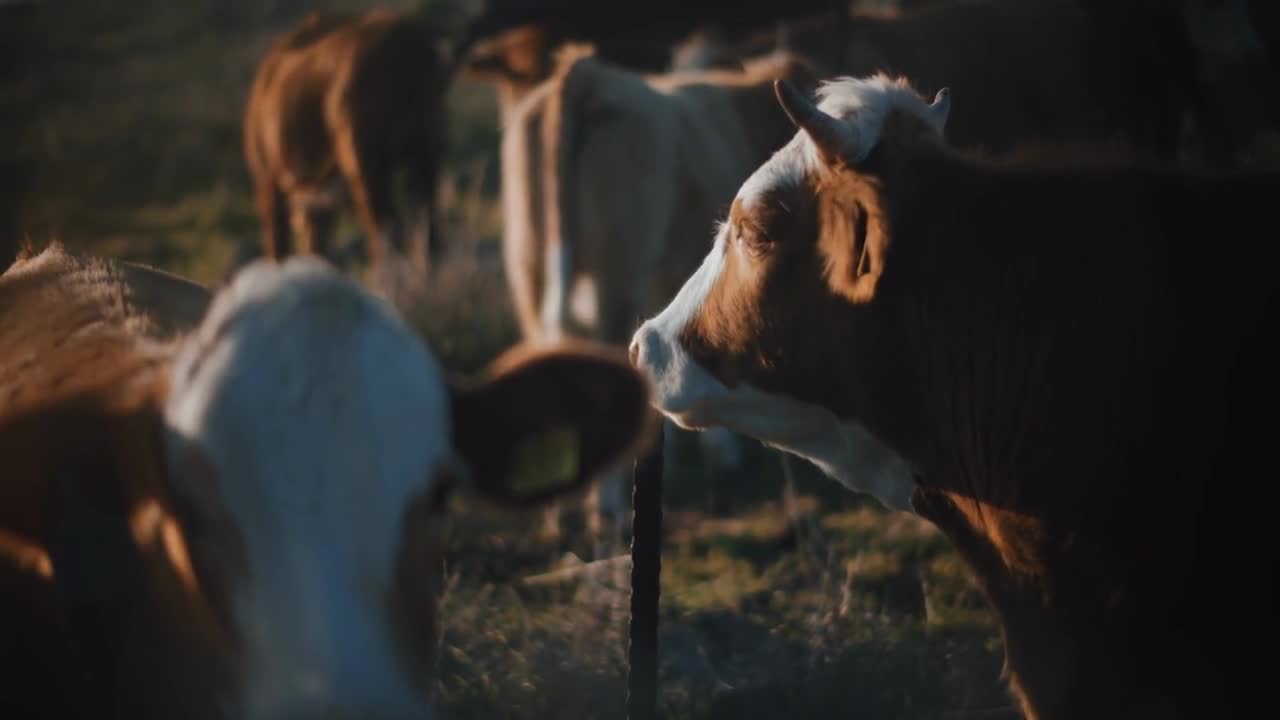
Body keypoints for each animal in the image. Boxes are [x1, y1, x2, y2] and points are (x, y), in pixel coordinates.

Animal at [240, 8, 460, 284]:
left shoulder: (271, 187)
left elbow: (281, 252)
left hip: (368, 170)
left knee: (388, 234)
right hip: (422, 159)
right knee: (425, 230)